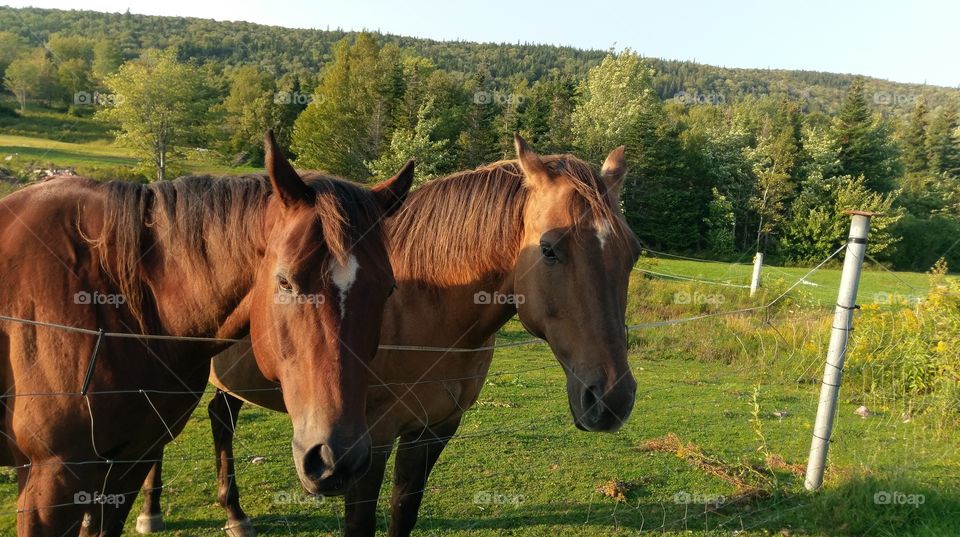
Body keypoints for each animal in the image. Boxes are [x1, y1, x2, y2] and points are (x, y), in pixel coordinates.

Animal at [141, 135, 636, 536]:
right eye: (549, 249)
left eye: (632, 253)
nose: (611, 398)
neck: (426, 309)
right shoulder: (369, 443)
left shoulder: (433, 431)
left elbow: (404, 514)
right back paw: (151, 512)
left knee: (220, 418)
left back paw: (235, 515)